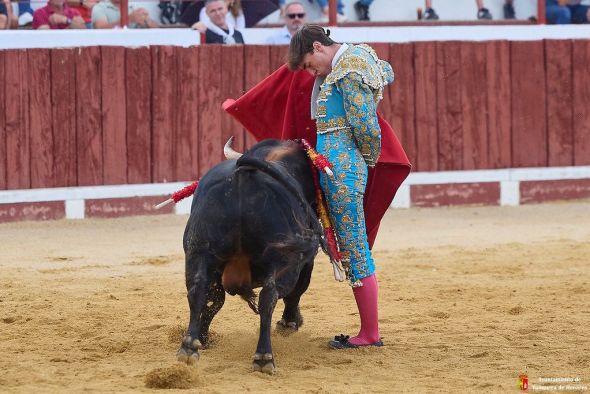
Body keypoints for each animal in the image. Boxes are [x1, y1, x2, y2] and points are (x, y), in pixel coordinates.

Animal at [177, 138, 324, 372]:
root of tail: (243, 176)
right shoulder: (304, 262)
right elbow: (296, 292)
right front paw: (290, 323)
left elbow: (214, 300)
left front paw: (203, 338)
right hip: (283, 258)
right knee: (269, 297)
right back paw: (264, 357)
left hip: (198, 251)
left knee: (198, 290)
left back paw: (189, 346)